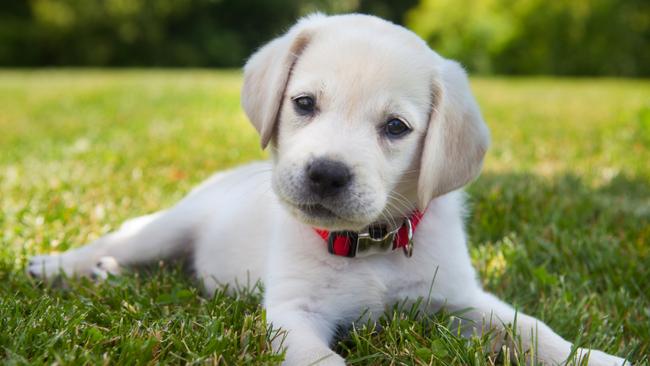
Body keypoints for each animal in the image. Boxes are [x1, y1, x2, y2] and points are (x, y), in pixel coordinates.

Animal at [29, 12, 628, 364]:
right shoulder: (294, 313)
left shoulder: (460, 299)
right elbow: (322, 360)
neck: (370, 244)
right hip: (168, 227)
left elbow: (536, 330)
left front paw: (601, 357)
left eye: (396, 128)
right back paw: (61, 265)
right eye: (303, 103)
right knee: (122, 241)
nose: (327, 173)